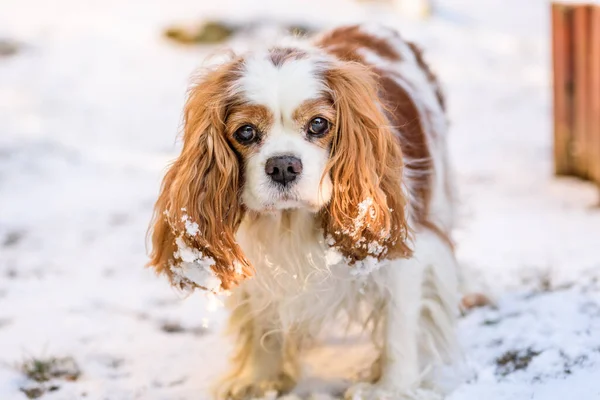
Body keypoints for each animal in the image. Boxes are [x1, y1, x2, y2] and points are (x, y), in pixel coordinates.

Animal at [149, 24, 460, 396]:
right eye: (246, 131)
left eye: (318, 124)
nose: (283, 166)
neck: (290, 220)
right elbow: (260, 322)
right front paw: (259, 378)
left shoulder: (404, 253)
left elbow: (399, 326)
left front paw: (391, 388)